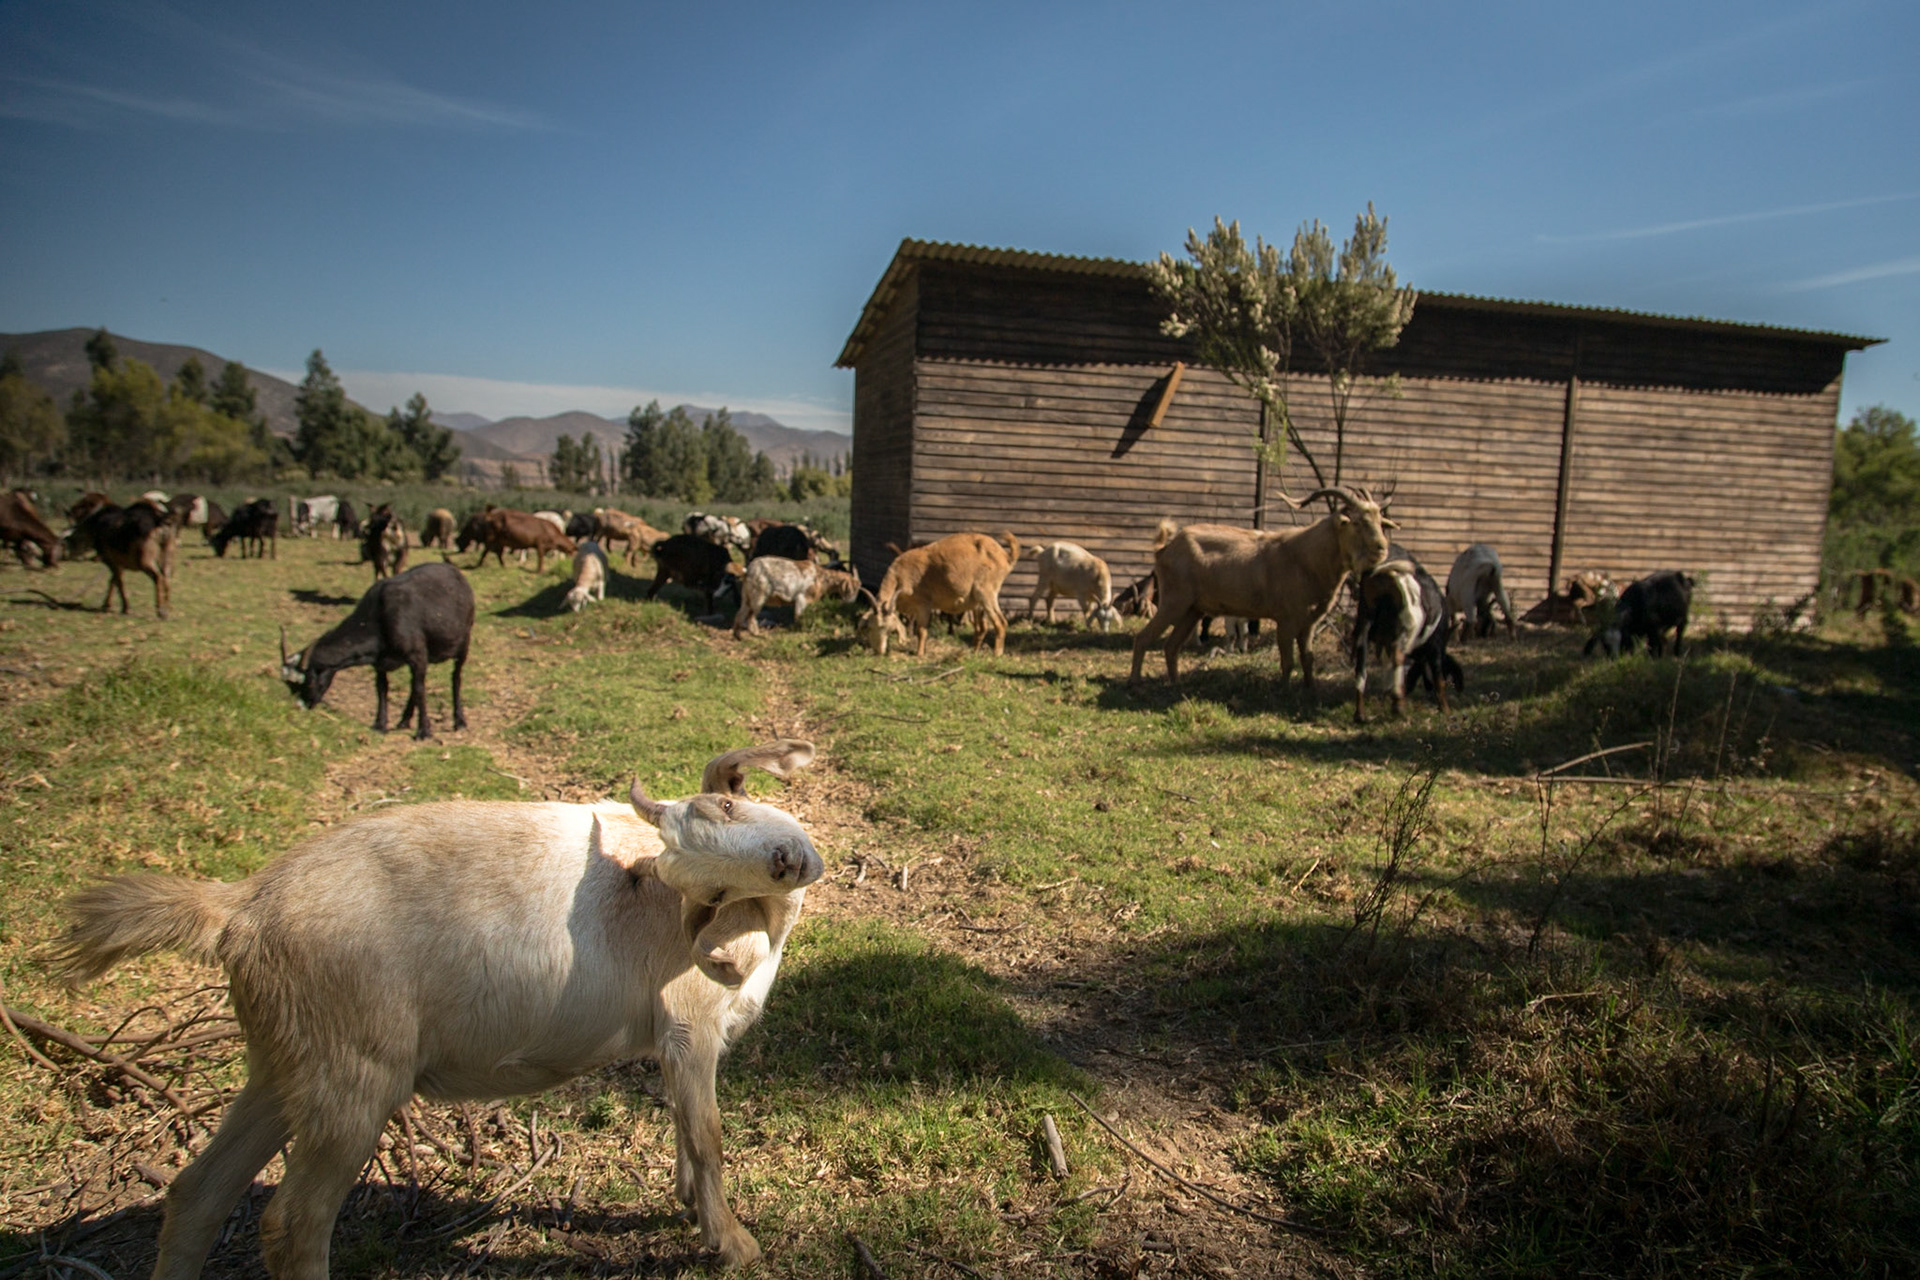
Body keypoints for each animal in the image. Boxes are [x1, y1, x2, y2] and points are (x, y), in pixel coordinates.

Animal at [54, 739, 821, 1274]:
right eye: (706, 890)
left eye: (729, 807)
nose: (786, 862)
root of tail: (241, 909)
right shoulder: (688, 1027)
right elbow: (707, 1134)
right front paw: (732, 1243)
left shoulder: (680, 1043)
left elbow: (686, 1131)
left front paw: (690, 1207)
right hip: (355, 1073)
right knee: (293, 1223)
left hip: (286, 1060)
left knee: (197, 1194)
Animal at [279, 561, 474, 739]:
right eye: (289, 685)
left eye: (309, 682)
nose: (300, 706)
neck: (379, 616)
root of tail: (457, 574)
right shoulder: (381, 662)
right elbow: (382, 688)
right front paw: (380, 725)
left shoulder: (416, 654)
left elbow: (420, 689)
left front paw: (424, 732)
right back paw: (404, 720)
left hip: (463, 642)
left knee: (455, 678)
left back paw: (459, 721)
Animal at [857, 532, 1019, 657]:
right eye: (871, 626)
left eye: (889, 630)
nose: (879, 651)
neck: (901, 575)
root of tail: (1006, 557)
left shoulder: (923, 604)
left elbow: (921, 631)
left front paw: (919, 654)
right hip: (978, 601)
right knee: (981, 628)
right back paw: (974, 652)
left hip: (986, 592)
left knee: (1000, 622)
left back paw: (997, 653)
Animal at [1130, 487, 1394, 688]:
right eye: (1356, 522)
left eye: (1380, 521)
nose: (1381, 548)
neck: (1306, 557)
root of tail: (1164, 549)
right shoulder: (1286, 619)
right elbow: (1288, 661)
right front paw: (1285, 691)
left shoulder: (1309, 622)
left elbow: (1308, 659)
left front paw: (1310, 690)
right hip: (1175, 600)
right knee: (1143, 638)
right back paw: (1135, 683)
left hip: (1192, 609)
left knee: (1171, 646)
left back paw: (1176, 683)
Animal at [1351, 551, 1460, 721]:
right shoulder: (1435, 647)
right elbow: (1439, 679)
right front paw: (1445, 709)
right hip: (1407, 627)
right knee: (1398, 655)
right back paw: (1398, 707)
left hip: (1364, 626)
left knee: (1361, 669)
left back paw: (1360, 714)